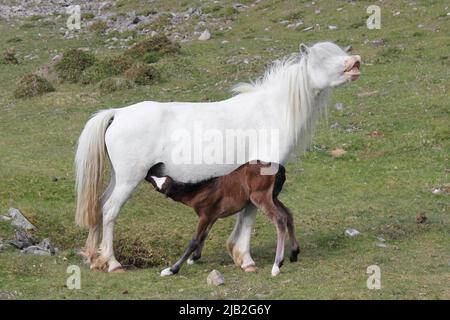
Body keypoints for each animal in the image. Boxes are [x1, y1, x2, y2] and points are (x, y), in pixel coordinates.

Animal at [147, 161, 298, 276]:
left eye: (157, 187)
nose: (148, 175)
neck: (199, 192)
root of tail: (279, 169)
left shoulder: (205, 216)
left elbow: (194, 240)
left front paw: (172, 269)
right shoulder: (212, 216)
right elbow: (203, 236)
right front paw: (194, 258)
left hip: (261, 198)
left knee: (279, 220)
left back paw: (277, 265)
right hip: (273, 197)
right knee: (288, 215)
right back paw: (294, 253)